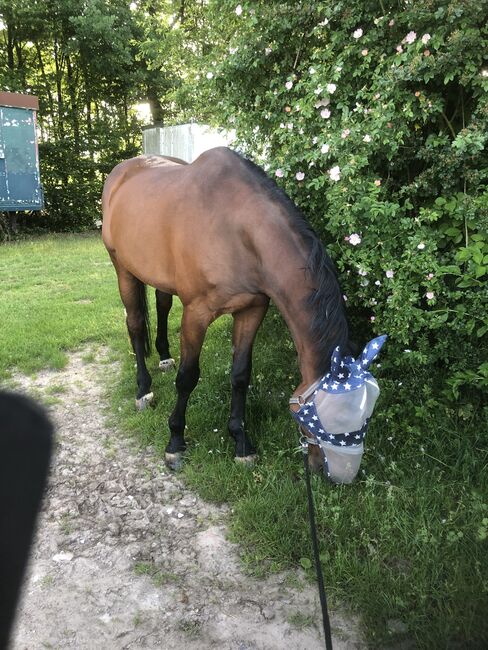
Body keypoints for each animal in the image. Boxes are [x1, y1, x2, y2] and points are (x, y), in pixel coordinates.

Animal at [102, 146, 372, 478]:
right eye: (328, 418)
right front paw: (175, 442)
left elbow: (241, 374)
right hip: (123, 270)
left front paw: (241, 442)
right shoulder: (196, 314)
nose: (342, 476)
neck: (235, 229)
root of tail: (122, 171)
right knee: (136, 324)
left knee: (162, 305)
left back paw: (164, 356)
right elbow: (187, 378)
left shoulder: (251, 309)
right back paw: (143, 391)